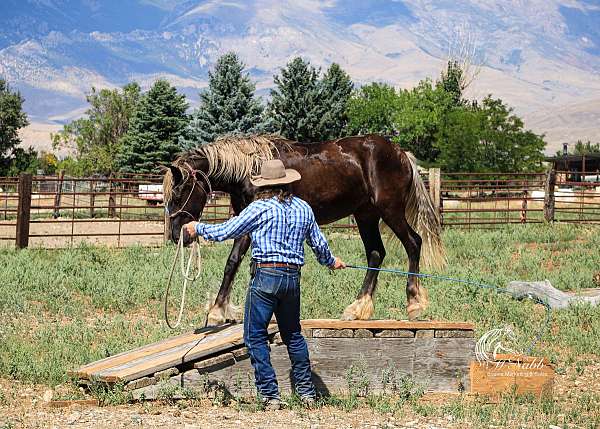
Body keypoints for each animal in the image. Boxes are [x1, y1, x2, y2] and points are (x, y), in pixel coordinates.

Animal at [164, 134, 446, 324]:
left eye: (178, 193)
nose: (178, 235)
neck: (252, 168)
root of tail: (401, 153)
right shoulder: (247, 220)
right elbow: (234, 263)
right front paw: (219, 310)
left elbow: (236, 262)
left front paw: (217, 311)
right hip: (366, 215)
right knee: (376, 253)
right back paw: (358, 307)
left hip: (390, 210)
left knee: (413, 243)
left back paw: (414, 303)